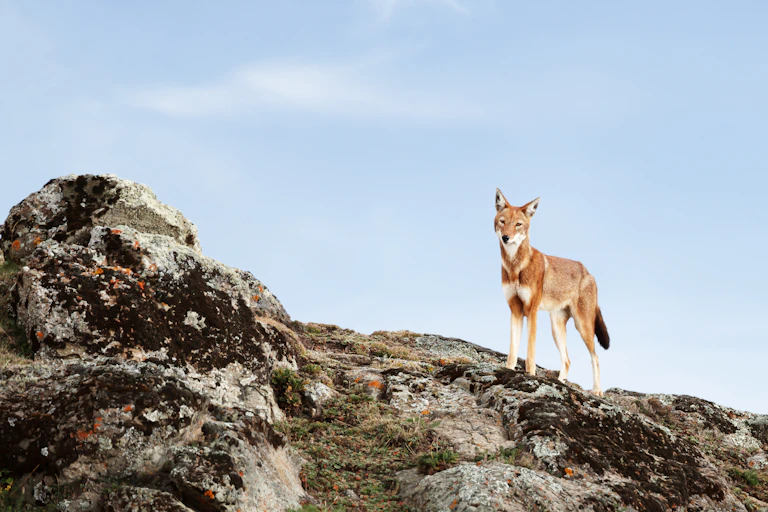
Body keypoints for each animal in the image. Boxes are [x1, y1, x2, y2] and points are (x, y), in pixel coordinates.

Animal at [494, 189, 609, 396]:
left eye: (518, 224)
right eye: (502, 221)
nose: (506, 237)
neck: (515, 268)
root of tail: (588, 272)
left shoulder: (531, 312)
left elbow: (530, 352)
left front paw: (530, 375)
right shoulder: (515, 311)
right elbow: (512, 352)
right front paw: (508, 371)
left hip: (583, 327)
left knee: (595, 357)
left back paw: (597, 391)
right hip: (556, 328)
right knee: (567, 360)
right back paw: (560, 383)